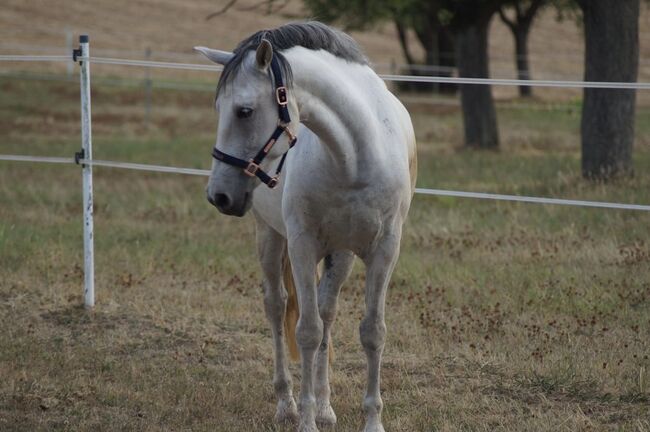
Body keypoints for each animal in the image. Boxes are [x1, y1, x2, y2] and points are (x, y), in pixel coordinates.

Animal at [195, 22, 416, 432]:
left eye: (244, 111)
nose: (218, 195)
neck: (355, 156)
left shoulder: (383, 250)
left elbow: (371, 332)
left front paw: (371, 421)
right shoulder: (302, 245)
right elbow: (307, 332)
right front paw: (306, 420)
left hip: (341, 255)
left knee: (327, 312)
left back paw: (326, 407)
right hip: (269, 237)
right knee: (277, 306)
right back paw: (288, 403)